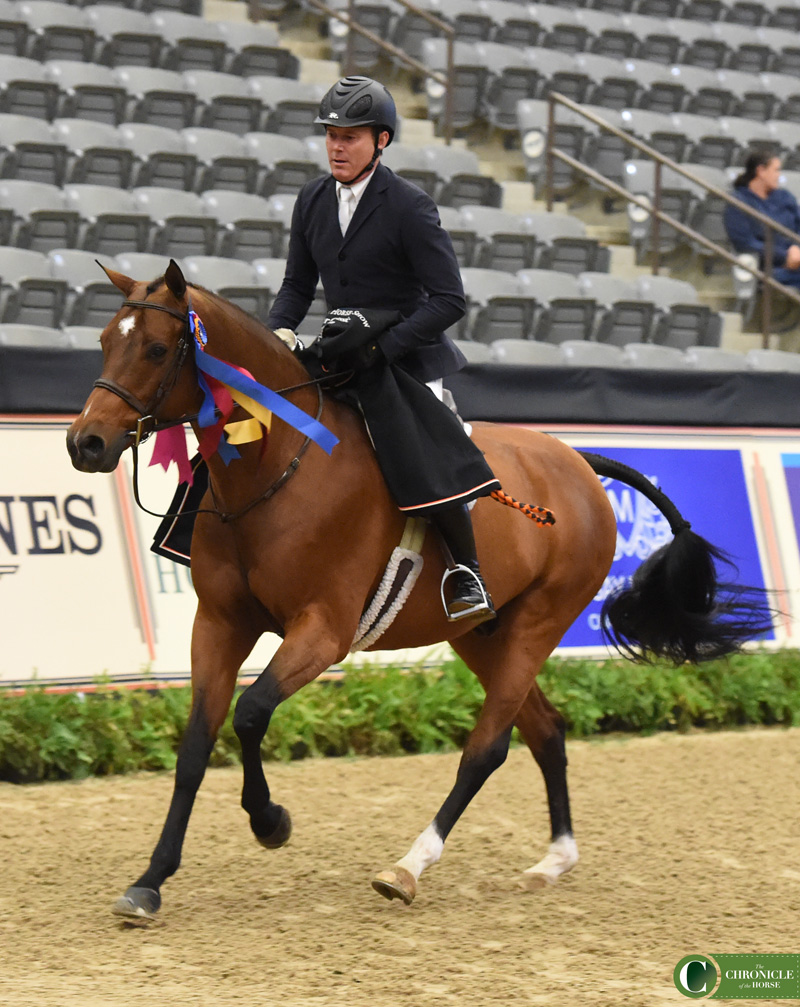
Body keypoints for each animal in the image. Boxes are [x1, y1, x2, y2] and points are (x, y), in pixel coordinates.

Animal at [67, 261, 765, 922]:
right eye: (103, 342)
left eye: (158, 349)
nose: (86, 442)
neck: (279, 467)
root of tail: (579, 463)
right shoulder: (219, 623)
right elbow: (194, 745)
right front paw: (150, 881)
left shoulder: (323, 631)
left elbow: (250, 713)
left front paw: (271, 822)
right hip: (483, 634)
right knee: (545, 730)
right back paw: (555, 859)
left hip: (540, 623)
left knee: (487, 749)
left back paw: (408, 867)